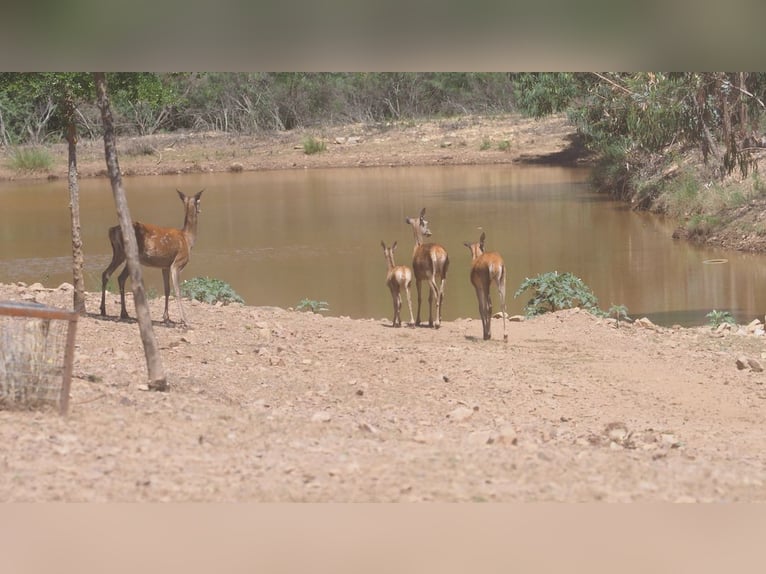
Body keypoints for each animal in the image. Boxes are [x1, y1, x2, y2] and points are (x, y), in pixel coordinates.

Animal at [100, 190, 206, 328]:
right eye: (199, 201)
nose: (200, 210)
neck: (187, 239)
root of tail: (112, 230)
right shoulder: (177, 263)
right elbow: (177, 291)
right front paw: (185, 320)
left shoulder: (165, 266)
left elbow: (167, 290)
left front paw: (166, 317)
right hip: (130, 255)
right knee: (118, 276)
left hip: (119, 254)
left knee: (109, 274)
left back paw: (109, 311)